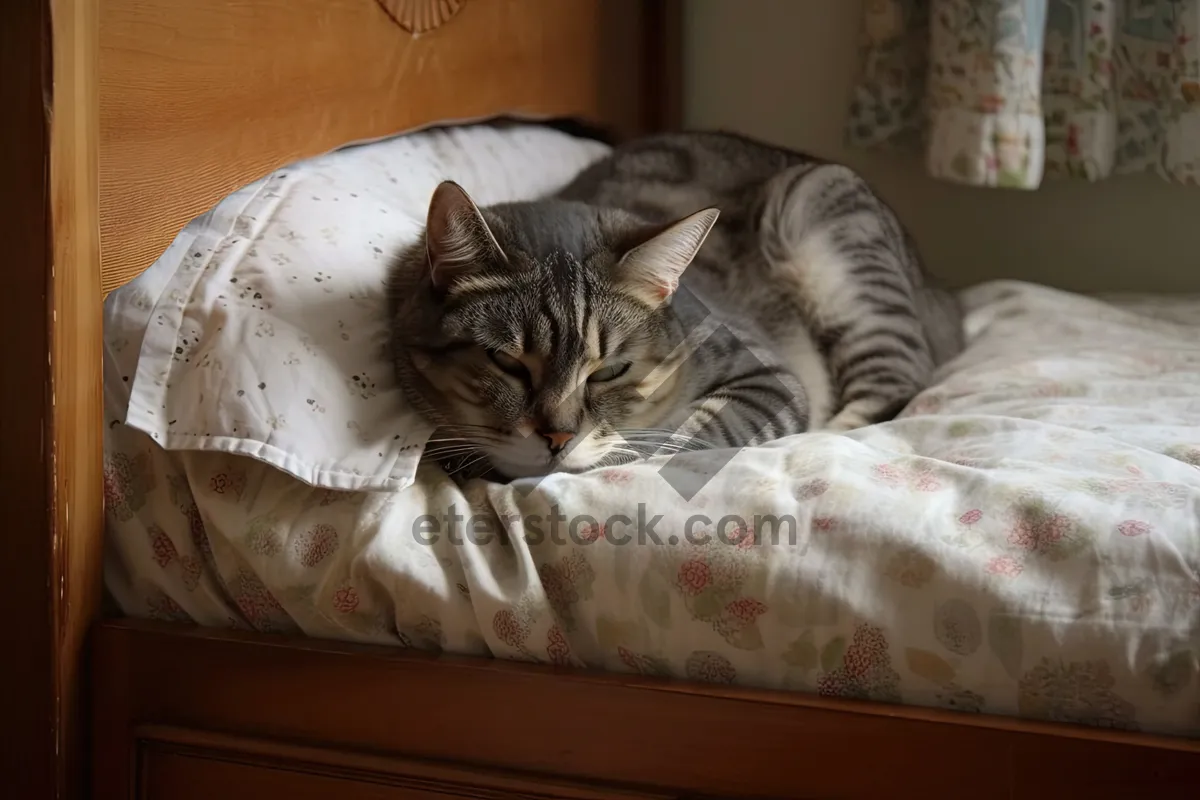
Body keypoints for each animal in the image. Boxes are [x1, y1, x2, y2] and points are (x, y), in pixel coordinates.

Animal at [388, 131, 960, 482]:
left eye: (610, 371)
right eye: (506, 362)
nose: (558, 438)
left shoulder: (767, 376)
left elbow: (676, 434)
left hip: (829, 232)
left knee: (896, 378)